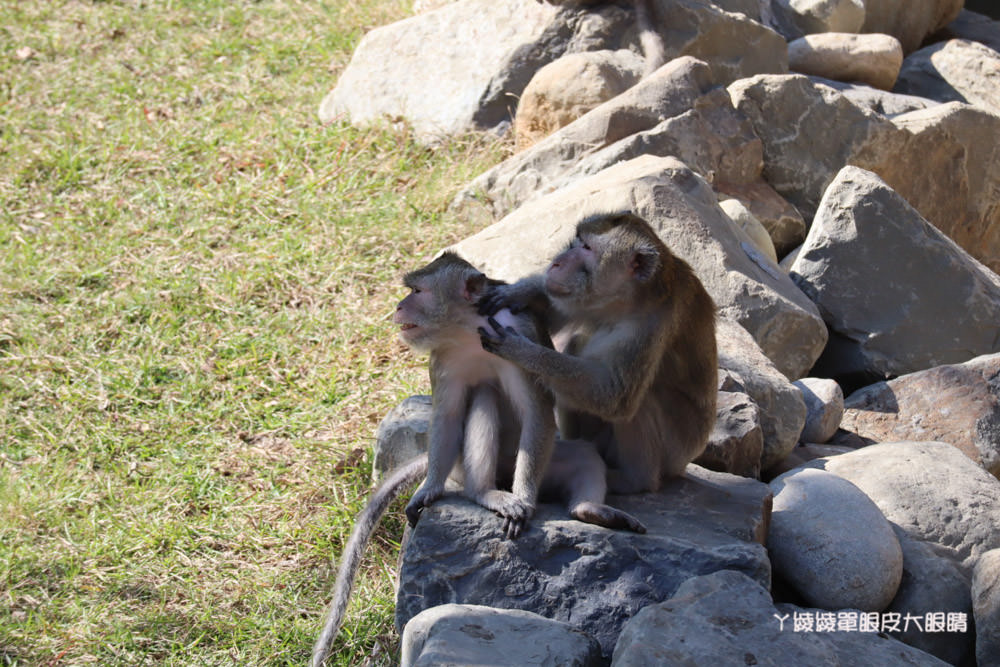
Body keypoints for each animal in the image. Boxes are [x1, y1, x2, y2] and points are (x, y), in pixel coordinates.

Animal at [308, 252, 644, 667]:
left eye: (417, 291)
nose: (398, 306)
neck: (468, 328)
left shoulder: (517, 335)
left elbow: (537, 413)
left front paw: (526, 499)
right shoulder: (443, 355)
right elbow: (448, 416)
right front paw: (428, 489)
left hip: (541, 464)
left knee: (580, 453)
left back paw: (588, 509)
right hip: (462, 466)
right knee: (483, 396)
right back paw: (482, 492)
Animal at [480, 214, 716, 496]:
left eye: (587, 248)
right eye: (577, 241)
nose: (557, 262)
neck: (629, 300)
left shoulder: (654, 324)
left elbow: (615, 395)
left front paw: (524, 351)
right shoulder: (586, 300)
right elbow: (552, 312)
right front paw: (519, 292)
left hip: (677, 449)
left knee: (640, 400)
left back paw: (636, 480)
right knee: (575, 346)